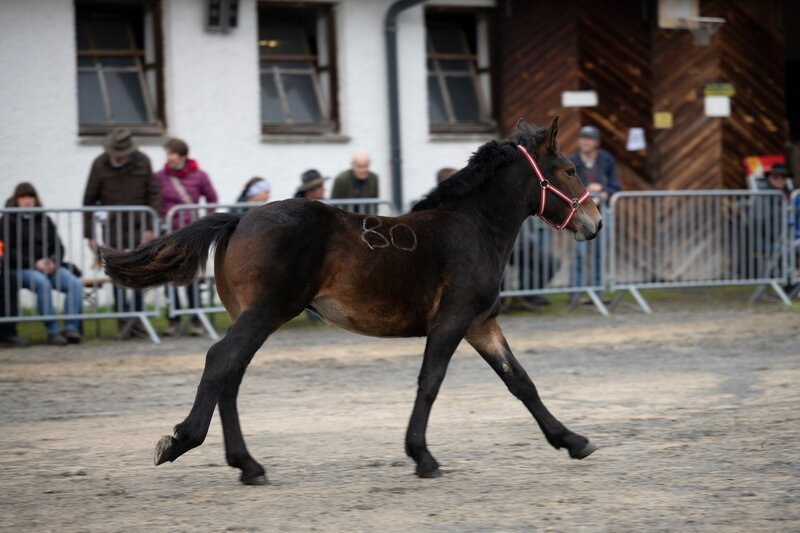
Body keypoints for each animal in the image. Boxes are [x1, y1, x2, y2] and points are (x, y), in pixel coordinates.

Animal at [101, 116, 603, 485]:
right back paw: (182, 441)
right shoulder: (453, 320)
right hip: (267, 311)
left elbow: (521, 382)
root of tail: (238, 219)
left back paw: (248, 465)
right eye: (570, 170)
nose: (595, 222)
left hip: (248, 314)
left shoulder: (482, 323)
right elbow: (431, 381)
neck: (472, 227)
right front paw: (422, 457)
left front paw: (574, 441)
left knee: (230, 374)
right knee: (221, 362)